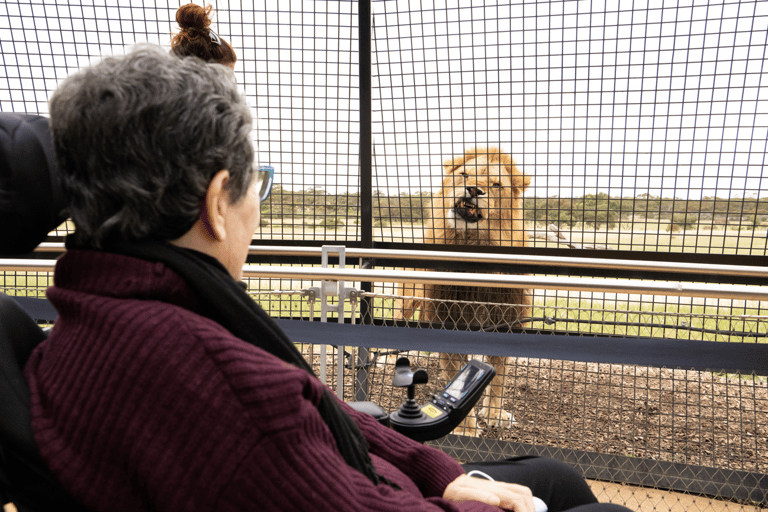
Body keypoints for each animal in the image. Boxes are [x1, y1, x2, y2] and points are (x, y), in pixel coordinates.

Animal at [400, 146, 532, 434]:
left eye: (496, 185)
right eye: (464, 174)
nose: (473, 189)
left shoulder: (505, 319)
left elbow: (499, 375)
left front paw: (495, 414)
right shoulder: (448, 319)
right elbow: (457, 378)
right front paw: (465, 430)